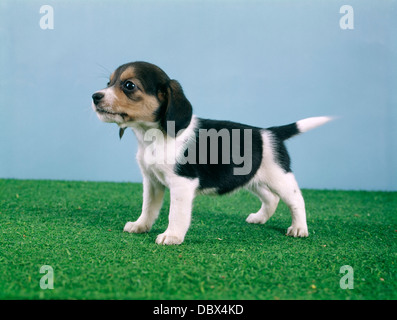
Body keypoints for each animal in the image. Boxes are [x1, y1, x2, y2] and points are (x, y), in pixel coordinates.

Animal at [91, 60, 330, 245]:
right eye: (108, 83)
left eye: (129, 85)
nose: (95, 96)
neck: (152, 137)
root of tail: (270, 133)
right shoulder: (152, 182)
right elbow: (148, 208)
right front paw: (140, 226)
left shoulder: (182, 184)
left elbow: (175, 214)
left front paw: (172, 236)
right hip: (253, 179)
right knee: (271, 199)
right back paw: (259, 218)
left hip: (280, 177)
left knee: (296, 201)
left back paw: (299, 229)